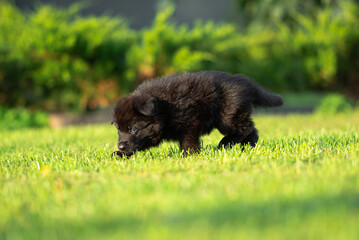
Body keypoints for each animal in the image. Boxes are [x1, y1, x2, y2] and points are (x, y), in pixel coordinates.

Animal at [112, 71, 284, 158]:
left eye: (133, 128)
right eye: (119, 130)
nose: (120, 145)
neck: (164, 108)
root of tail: (245, 82)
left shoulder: (190, 122)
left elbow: (189, 141)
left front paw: (188, 155)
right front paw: (119, 154)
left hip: (228, 116)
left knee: (246, 128)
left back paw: (226, 143)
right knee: (251, 129)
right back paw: (246, 146)